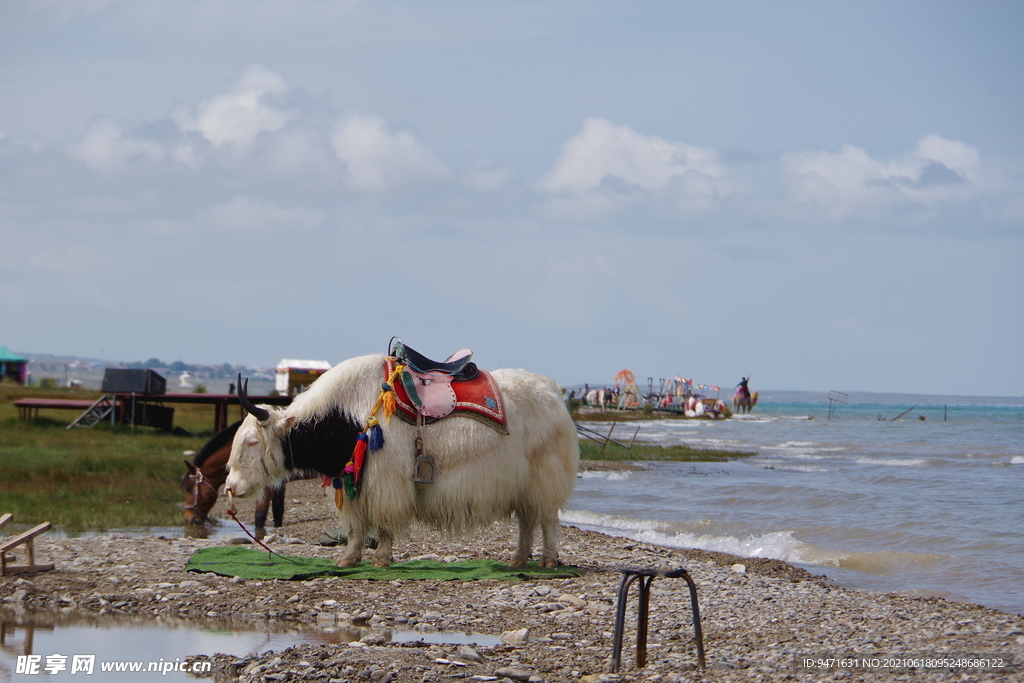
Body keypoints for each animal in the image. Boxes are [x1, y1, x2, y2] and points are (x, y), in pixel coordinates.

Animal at [180, 421, 315, 532]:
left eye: (188, 488)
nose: (188, 519)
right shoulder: (278, 485)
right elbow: (277, 512)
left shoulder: (266, 487)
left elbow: (260, 517)